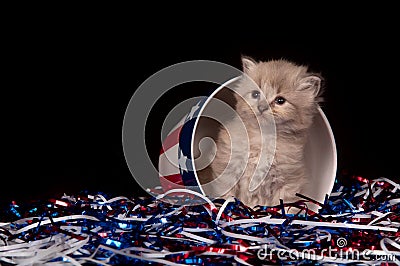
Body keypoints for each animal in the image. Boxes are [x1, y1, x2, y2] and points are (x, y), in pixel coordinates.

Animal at [198, 55, 324, 206]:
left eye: (280, 100)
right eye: (256, 94)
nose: (262, 107)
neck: (263, 138)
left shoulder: (289, 181)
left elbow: (284, 205)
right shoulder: (227, 170)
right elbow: (228, 196)